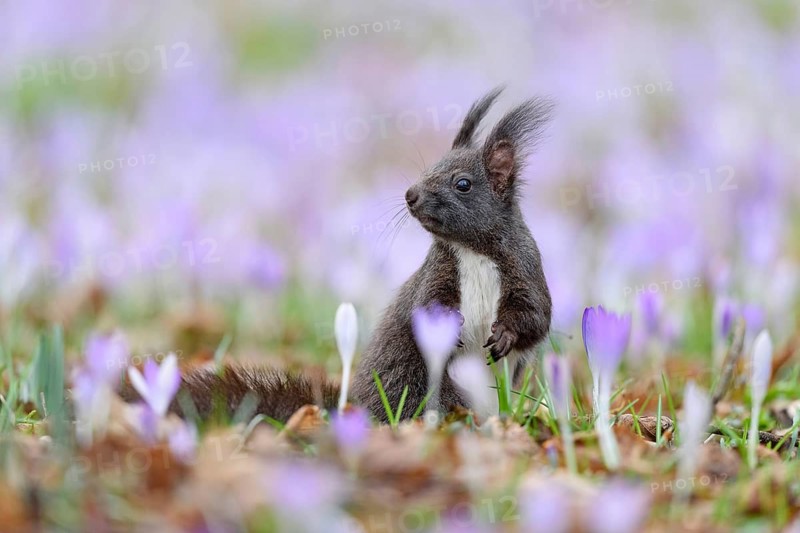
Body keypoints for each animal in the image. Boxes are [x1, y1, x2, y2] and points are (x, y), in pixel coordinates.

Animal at [119, 88, 553, 424]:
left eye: (462, 183)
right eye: (430, 167)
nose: (411, 195)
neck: (471, 250)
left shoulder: (524, 267)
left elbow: (536, 316)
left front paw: (505, 334)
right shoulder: (437, 274)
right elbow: (427, 306)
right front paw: (451, 326)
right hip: (412, 376)